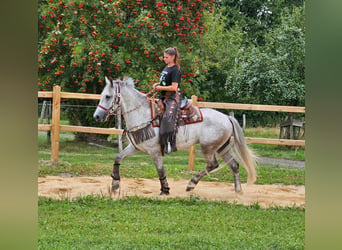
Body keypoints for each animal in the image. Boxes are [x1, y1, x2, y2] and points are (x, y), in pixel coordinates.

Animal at [93, 77, 256, 194]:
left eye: (108, 96)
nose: (97, 116)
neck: (143, 114)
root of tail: (227, 118)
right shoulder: (135, 147)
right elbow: (118, 157)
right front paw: (115, 184)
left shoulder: (154, 151)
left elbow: (160, 169)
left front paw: (165, 190)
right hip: (222, 147)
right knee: (234, 164)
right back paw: (238, 190)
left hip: (208, 148)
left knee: (213, 165)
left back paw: (191, 184)